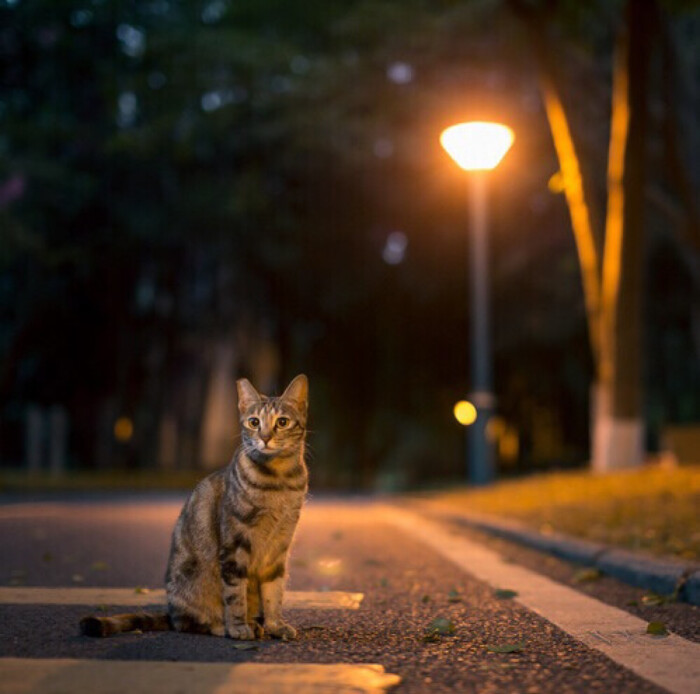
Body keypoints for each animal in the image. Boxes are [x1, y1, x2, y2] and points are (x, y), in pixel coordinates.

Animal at [80, 376, 308, 640]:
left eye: (282, 422)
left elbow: (274, 593)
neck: (279, 479)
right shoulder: (234, 545)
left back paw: (258, 624)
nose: (265, 437)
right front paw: (238, 627)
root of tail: (170, 614)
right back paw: (225, 626)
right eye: (254, 422)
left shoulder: (279, 548)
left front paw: (275, 625)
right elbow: (235, 595)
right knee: (189, 622)